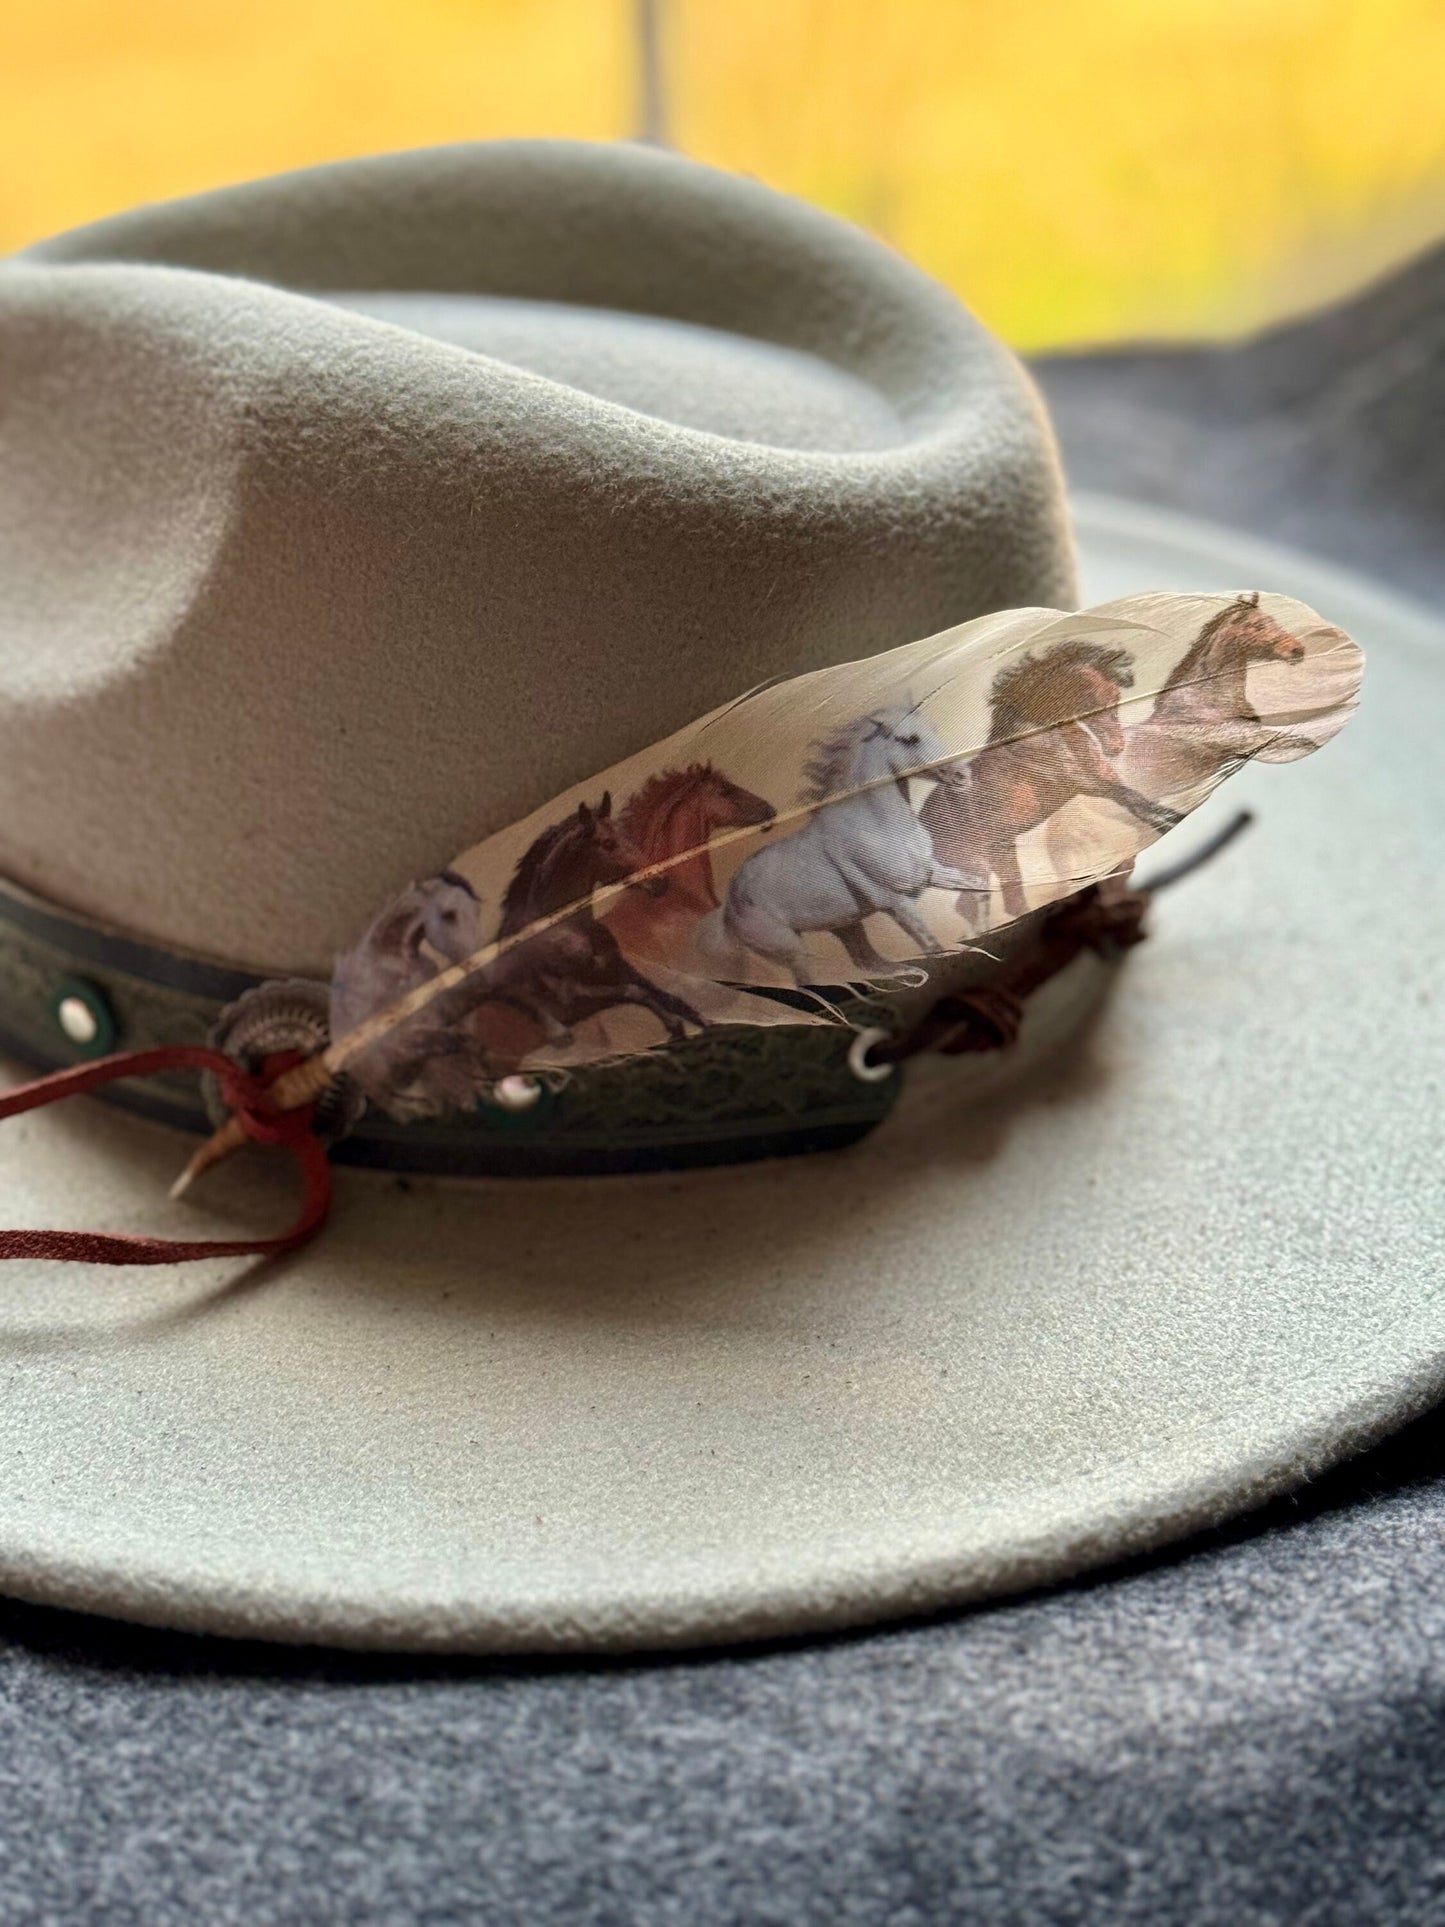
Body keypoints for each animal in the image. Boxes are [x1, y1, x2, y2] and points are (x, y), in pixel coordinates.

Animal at [702, 704, 977, 983]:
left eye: (933, 728)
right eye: (909, 739)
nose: (962, 775)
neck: (876, 825)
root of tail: (728, 906)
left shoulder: (935, 873)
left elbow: (976, 883)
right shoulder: (896, 902)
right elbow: (933, 946)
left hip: (846, 925)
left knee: (867, 962)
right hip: (791, 949)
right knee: (809, 984)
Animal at [922, 639, 1182, 927]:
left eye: (1114, 695)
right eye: (1089, 700)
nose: (1116, 747)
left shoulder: (1104, 779)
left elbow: (1143, 805)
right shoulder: (1090, 784)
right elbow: (1140, 804)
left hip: (1000, 855)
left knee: (999, 902)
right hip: (975, 863)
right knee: (975, 906)